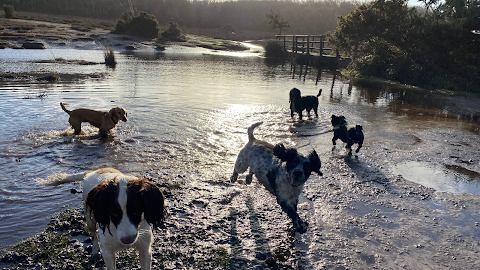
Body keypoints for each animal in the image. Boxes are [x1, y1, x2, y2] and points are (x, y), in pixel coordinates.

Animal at [36, 168, 167, 268]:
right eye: (113, 213)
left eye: (136, 211)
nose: (128, 240)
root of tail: (94, 171)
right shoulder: (108, 253)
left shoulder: (145, 249)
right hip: (90, 218)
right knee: (94, 235)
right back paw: (94, 251)